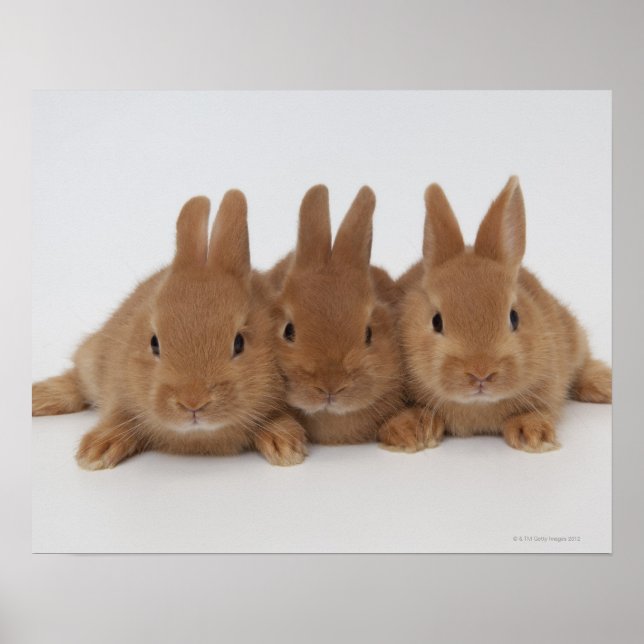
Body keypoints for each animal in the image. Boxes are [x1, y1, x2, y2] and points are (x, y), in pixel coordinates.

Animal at [32, 191, 307, 469]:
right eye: (154, 343)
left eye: (239, 343)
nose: (193, 402)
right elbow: (118, 417)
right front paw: (96, 451)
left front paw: (285, 447)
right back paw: (39, 397)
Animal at [379, 176, 612, 453]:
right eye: (436, 321)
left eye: (514, 317)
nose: (481, 373)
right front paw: (412, 432)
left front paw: (533, 435)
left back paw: (604, 384)